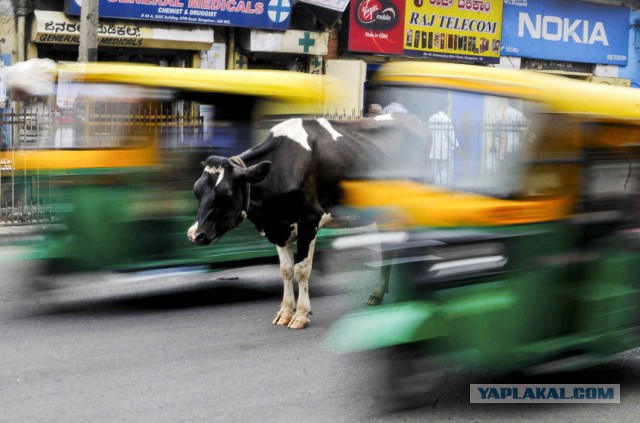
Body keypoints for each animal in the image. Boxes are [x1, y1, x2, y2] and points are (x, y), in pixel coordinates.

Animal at [186, 115, 424, 332]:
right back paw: (378, 293)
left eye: (225, 194)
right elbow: (285, 270)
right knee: (390, 247)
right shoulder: (279, 227)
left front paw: (300, 314)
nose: (194, 234)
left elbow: (301, 270)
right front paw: (284, 312)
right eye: (197, 191)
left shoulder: (310, 220)